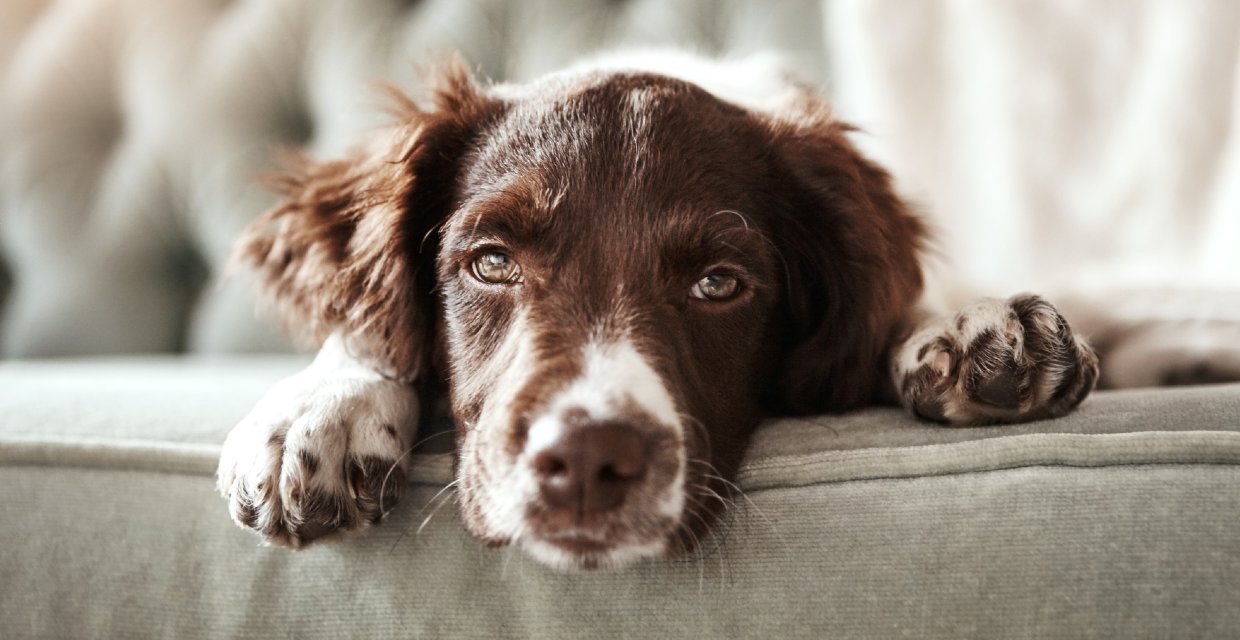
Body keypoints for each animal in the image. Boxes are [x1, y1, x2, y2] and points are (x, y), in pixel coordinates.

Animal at [218, 51, 1101, 570]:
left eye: (720, 284)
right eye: (491, 262)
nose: (584, 460)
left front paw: (971, 330)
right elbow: (365, 327)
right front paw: (318, 411)